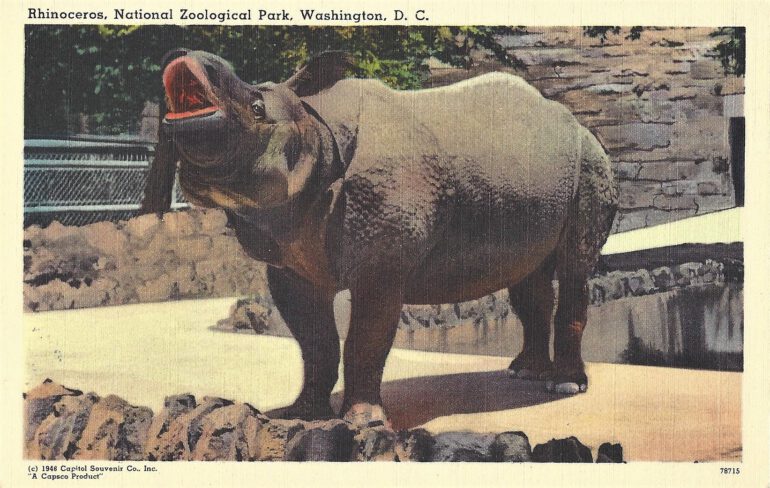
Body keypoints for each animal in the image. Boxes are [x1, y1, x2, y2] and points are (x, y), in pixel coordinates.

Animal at [142, 49, 619, 428]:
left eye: (258, 109)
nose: (186, 55)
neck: (317, 129)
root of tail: (575, 122)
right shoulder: (290, 265)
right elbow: (314, 342)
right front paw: (301, 414)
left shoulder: (382, 263)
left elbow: (364, 339)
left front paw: (362, 422)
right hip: (533, 174)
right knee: (528, 275)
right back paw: (525, 374)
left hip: (591, 161)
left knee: (574, 268)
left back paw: (564, 387)